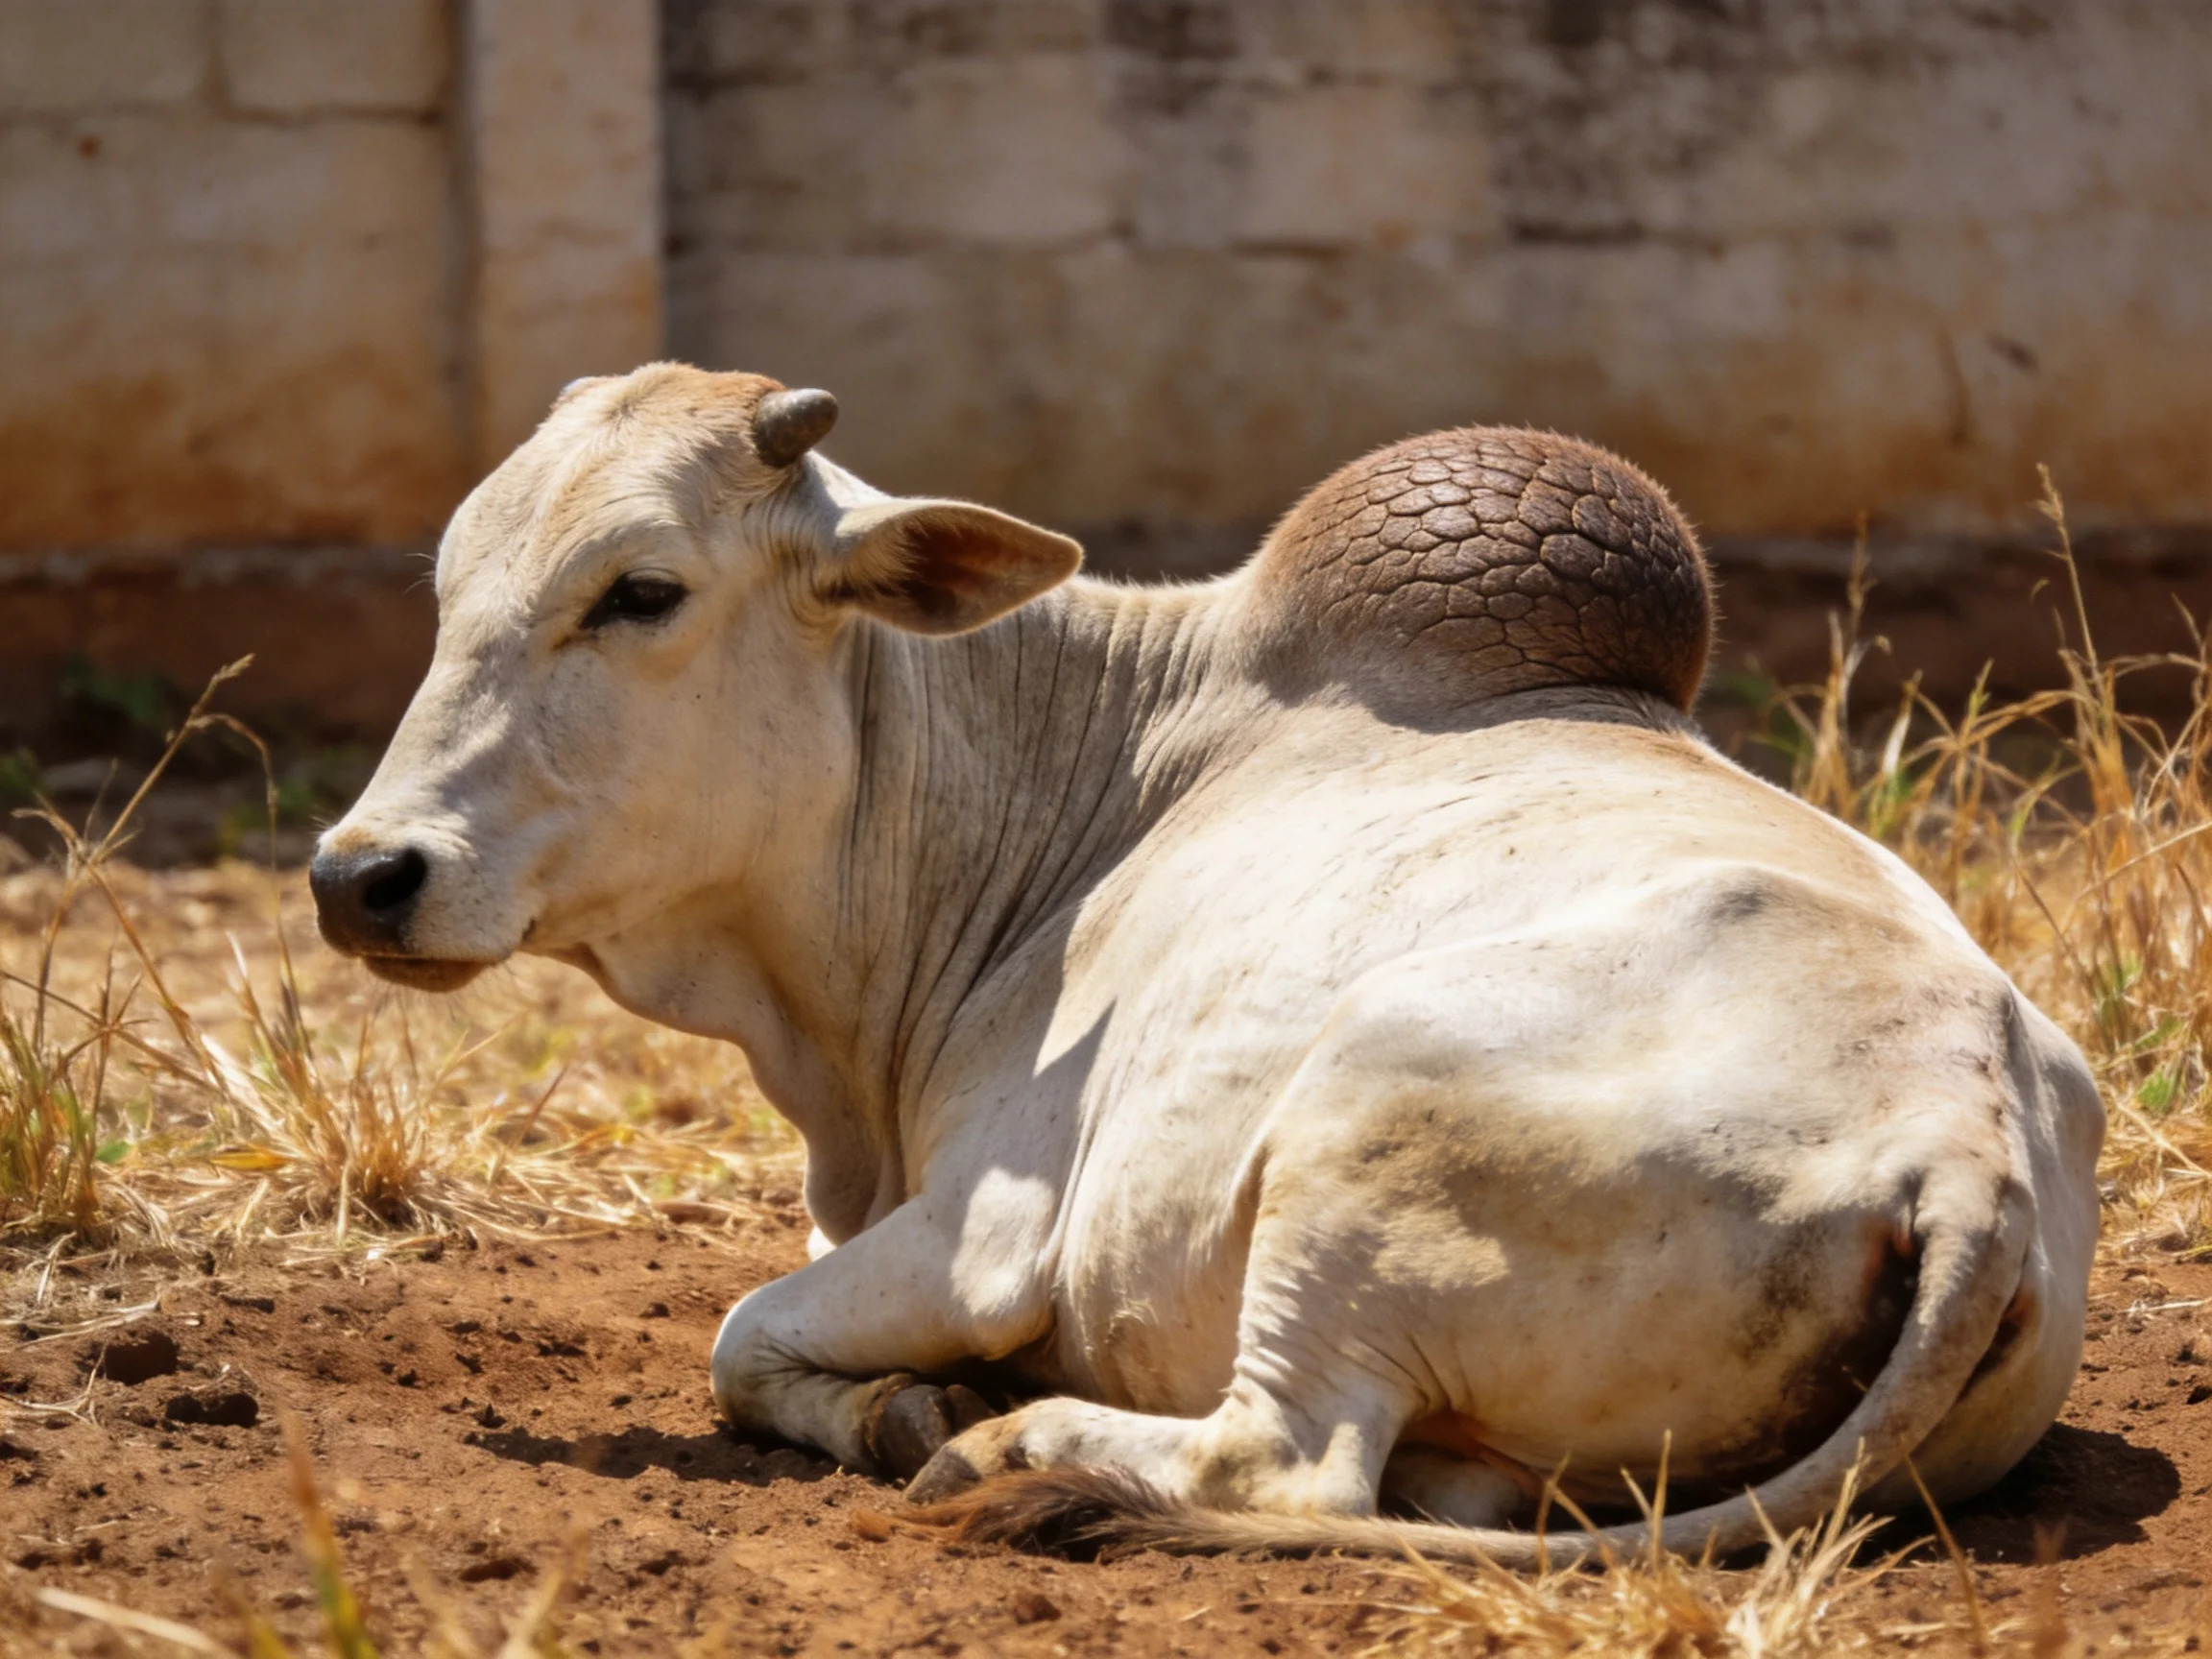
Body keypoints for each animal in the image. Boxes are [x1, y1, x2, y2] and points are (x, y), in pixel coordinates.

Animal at [310, 363, 2102, 1565]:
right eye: (451, 585)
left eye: (641, 591)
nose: (359, 875)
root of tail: (1964, 1150)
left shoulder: (988, 1237)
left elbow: (742, 1339)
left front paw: (911, 1413)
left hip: (1363, 1119)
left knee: (1284, 1464)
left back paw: (1024, 1447)